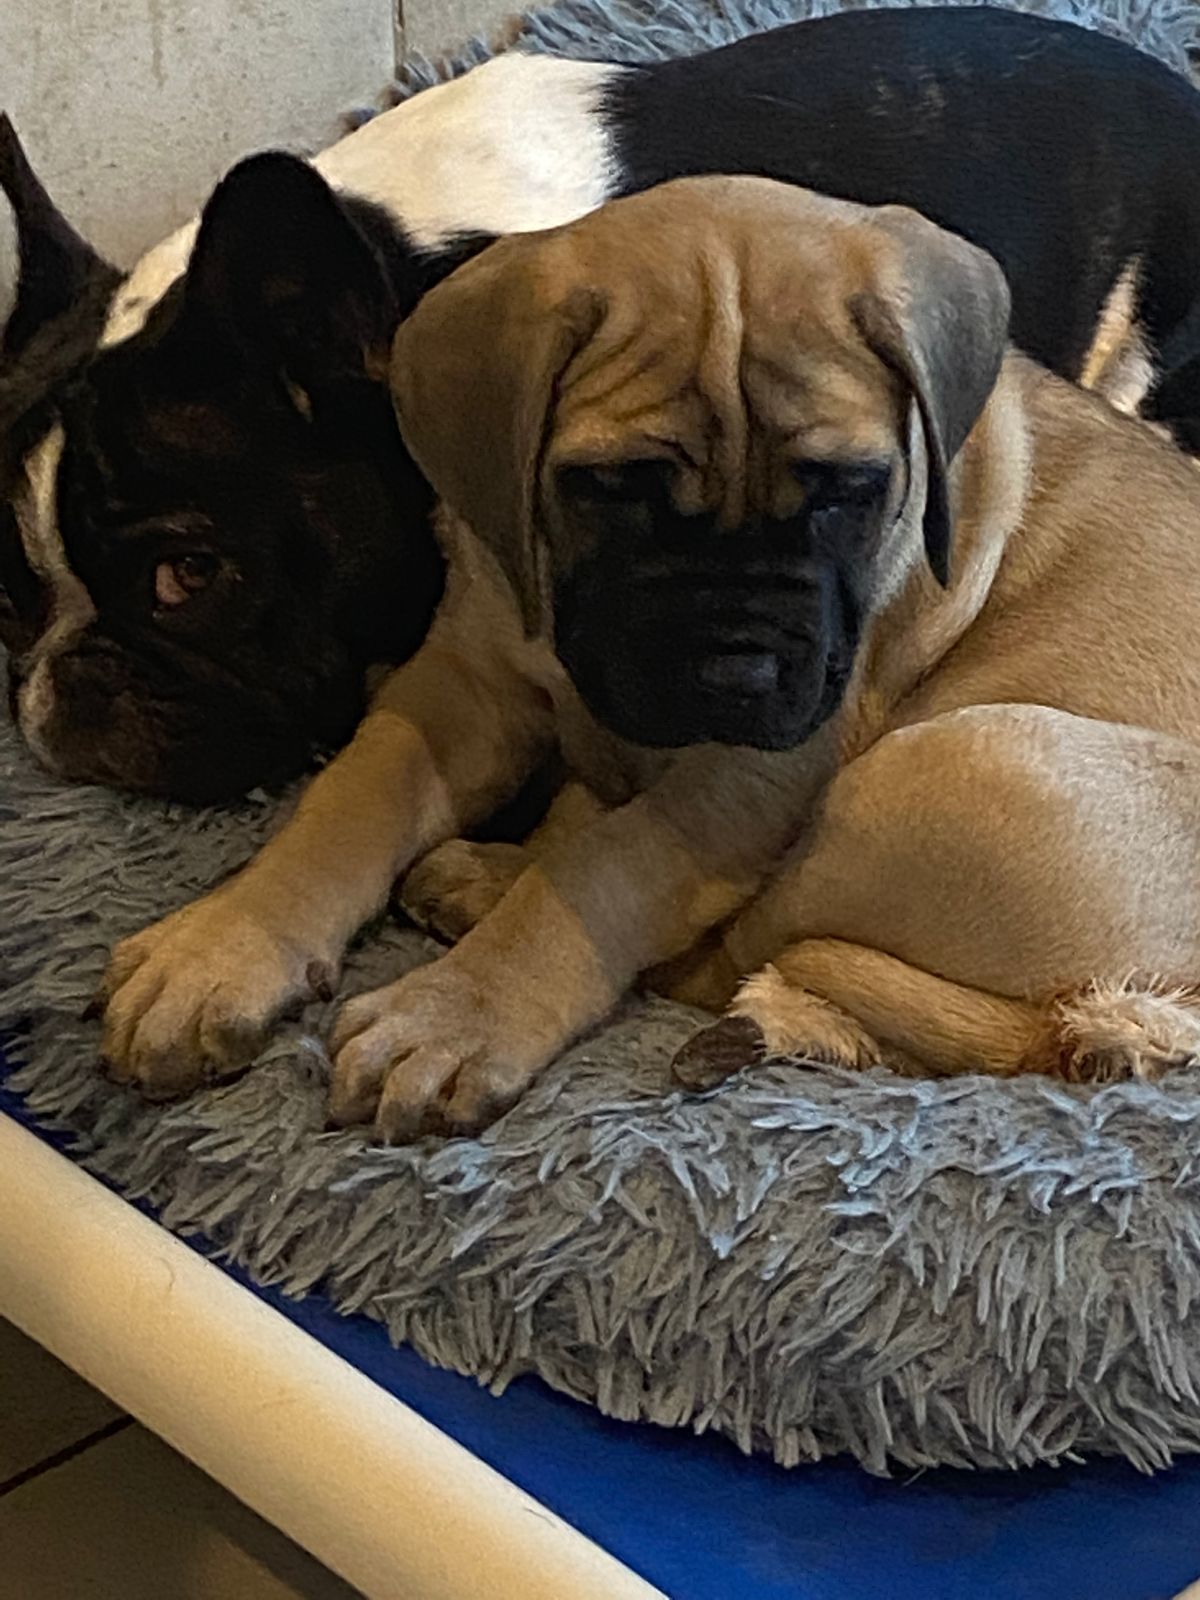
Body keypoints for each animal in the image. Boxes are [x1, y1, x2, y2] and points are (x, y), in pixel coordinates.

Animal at [95, 175, 1200, 1142]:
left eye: (848, 491)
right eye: (614, 488)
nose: (739, 676)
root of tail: (1151, 1016)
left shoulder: (747, 780)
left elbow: (606, 874)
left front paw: (454, 1017)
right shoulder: (463, 685)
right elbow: (346, 805)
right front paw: (221, 946)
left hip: (933, 768)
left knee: (733, 950)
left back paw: (488, 885)